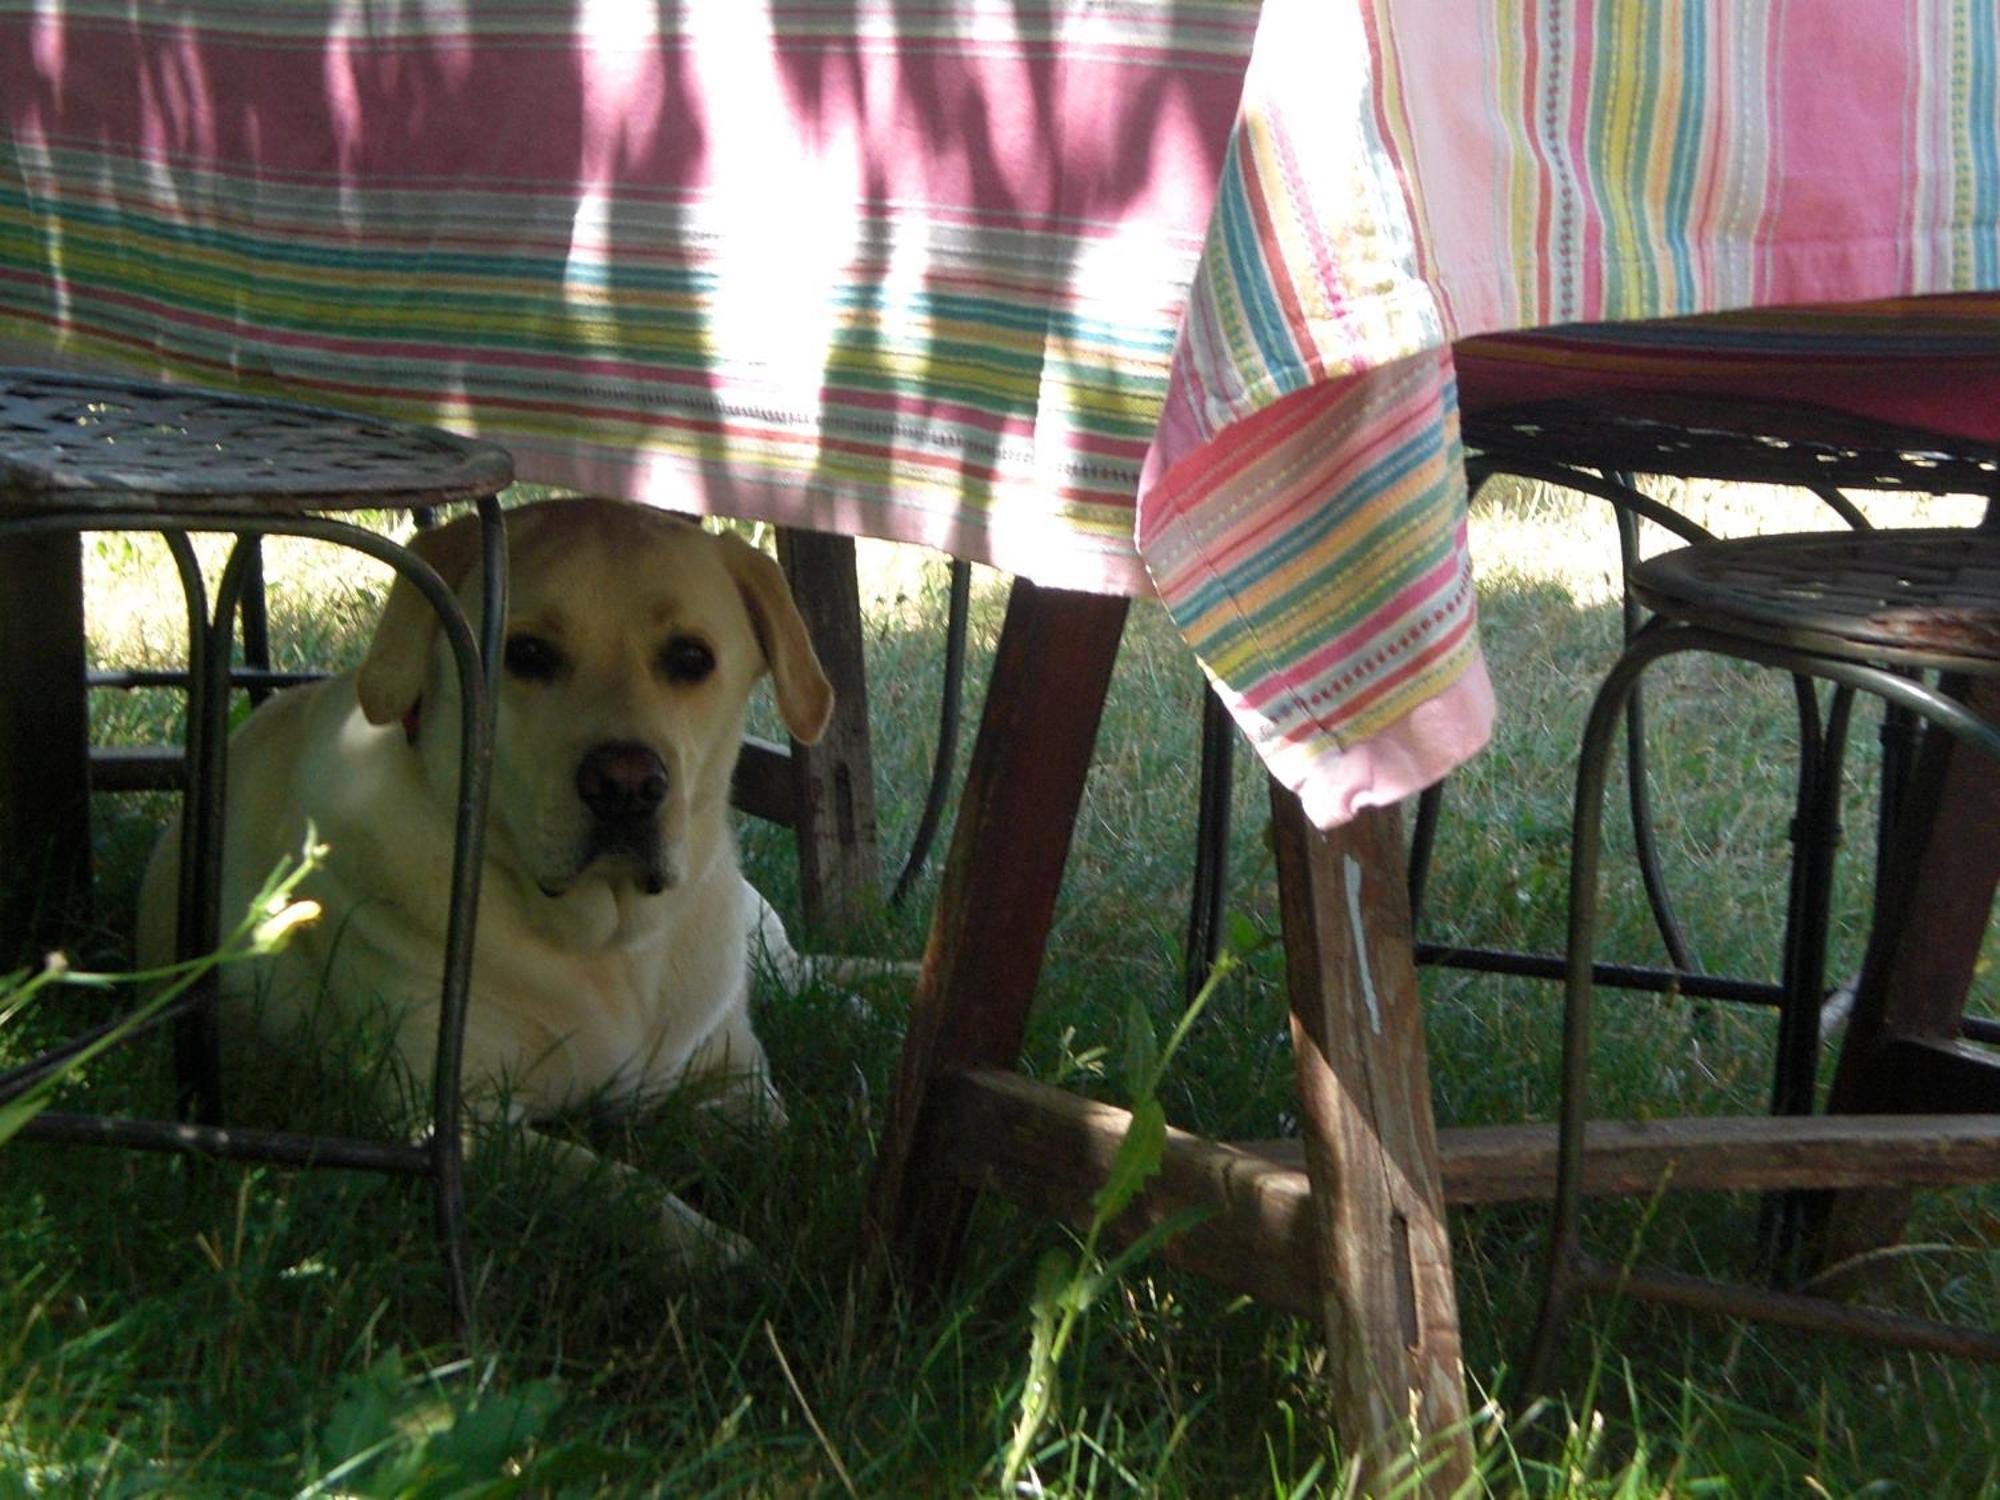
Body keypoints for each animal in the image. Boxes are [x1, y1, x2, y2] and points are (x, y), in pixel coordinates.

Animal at [135, 502, 836, 1272]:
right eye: (525, 654)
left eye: (691, 658)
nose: (625, 784)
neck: (607, 946)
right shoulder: (461, 1119)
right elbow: (612, 1183)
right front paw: (721, 1250)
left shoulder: (732, 1078)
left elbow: (795, 1142)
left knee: (811, 970)